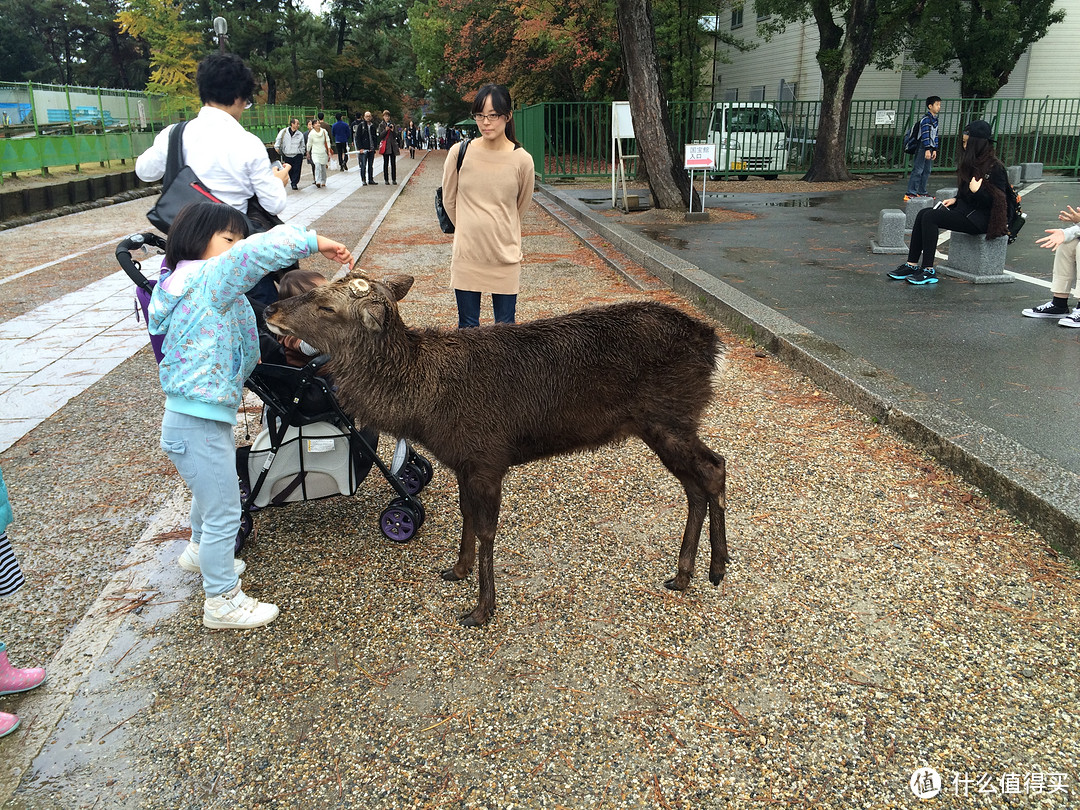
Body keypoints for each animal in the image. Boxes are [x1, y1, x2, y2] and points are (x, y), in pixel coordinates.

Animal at [264, 274, 730, 626]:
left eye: (327, 306)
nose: (270, 309)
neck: (423, 408)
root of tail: (713, 342)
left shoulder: (487, 457)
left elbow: (488, 528)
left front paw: (482, 608)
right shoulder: (461, 461)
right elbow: (466, 514)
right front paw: (457, 569)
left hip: (669, 418)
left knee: (713, 468)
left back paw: (717, 568)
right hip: (667, 424)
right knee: (699, 480)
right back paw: (685, 574)